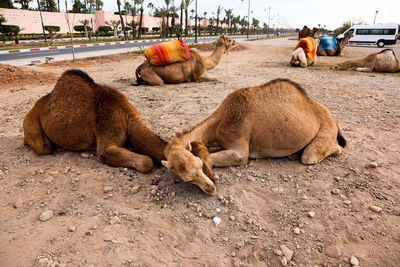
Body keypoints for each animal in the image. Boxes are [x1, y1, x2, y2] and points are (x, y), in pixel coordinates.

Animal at [162, 78, 346, 196]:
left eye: (200, 166)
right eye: (187, 179)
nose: (211, 189)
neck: (222, 118)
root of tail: (333, 119)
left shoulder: (240, 151)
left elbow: (225, 157)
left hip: (323, 136)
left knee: (319, 153)